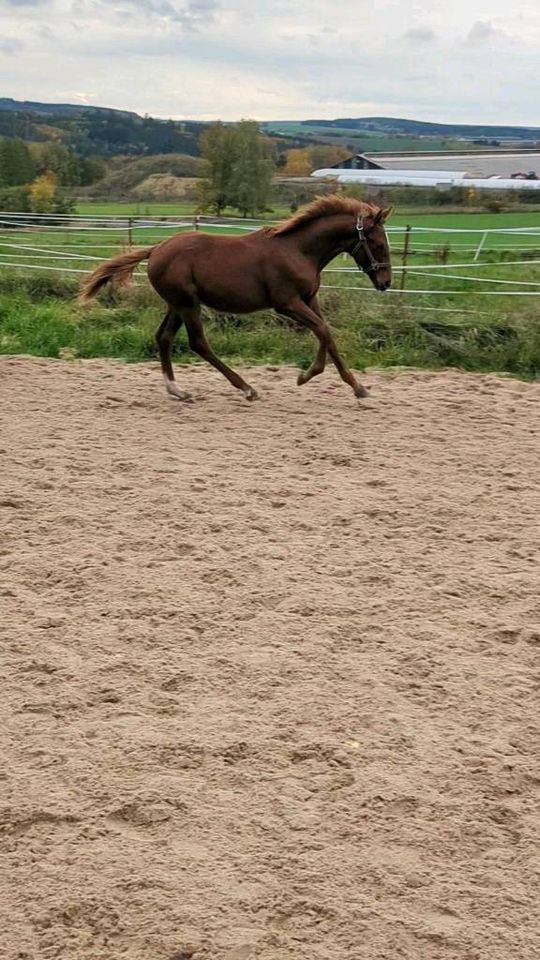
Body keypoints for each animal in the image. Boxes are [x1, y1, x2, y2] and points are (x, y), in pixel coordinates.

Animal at [79, 197, 392, 404]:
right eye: (378, 244)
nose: (386, 283)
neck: (299, 250)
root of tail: (156, 249)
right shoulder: (287, 303)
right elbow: (324, 331)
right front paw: (307, 376)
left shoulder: (309, 299)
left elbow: (327, 335)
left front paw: (357, 388)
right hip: (188, 304)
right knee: (198, 343)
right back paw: (246, 388)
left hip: (176, 304)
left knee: (164, 337)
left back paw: (177, 390)